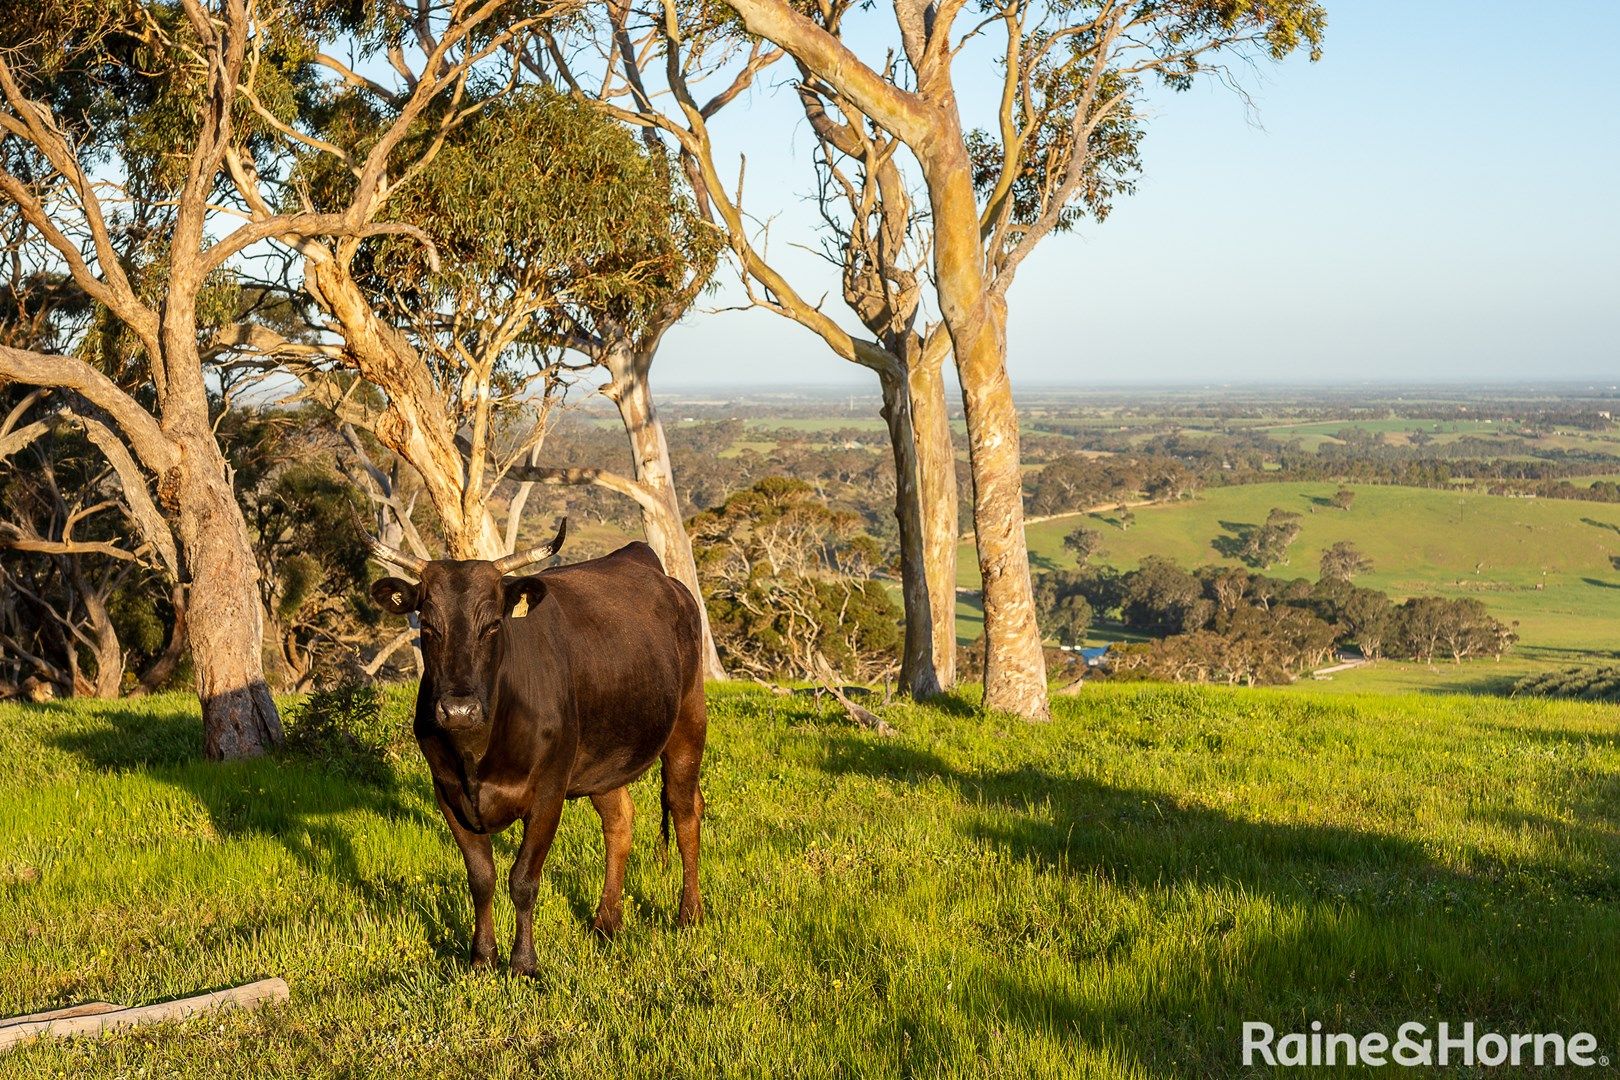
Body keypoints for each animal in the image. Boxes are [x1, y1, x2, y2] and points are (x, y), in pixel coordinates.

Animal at [370, 518, 706, 977]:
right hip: (602, 760)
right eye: (428, 626)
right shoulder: (447, 793)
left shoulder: (549, 792)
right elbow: (482, 878)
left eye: (493, 625)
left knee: (686, 810)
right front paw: (482, 958)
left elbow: (523, 880)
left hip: (688, 721)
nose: (458, 710)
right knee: (620, 822)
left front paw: (523, 963)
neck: (478, 754)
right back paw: (606, 922)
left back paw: (689, 915)